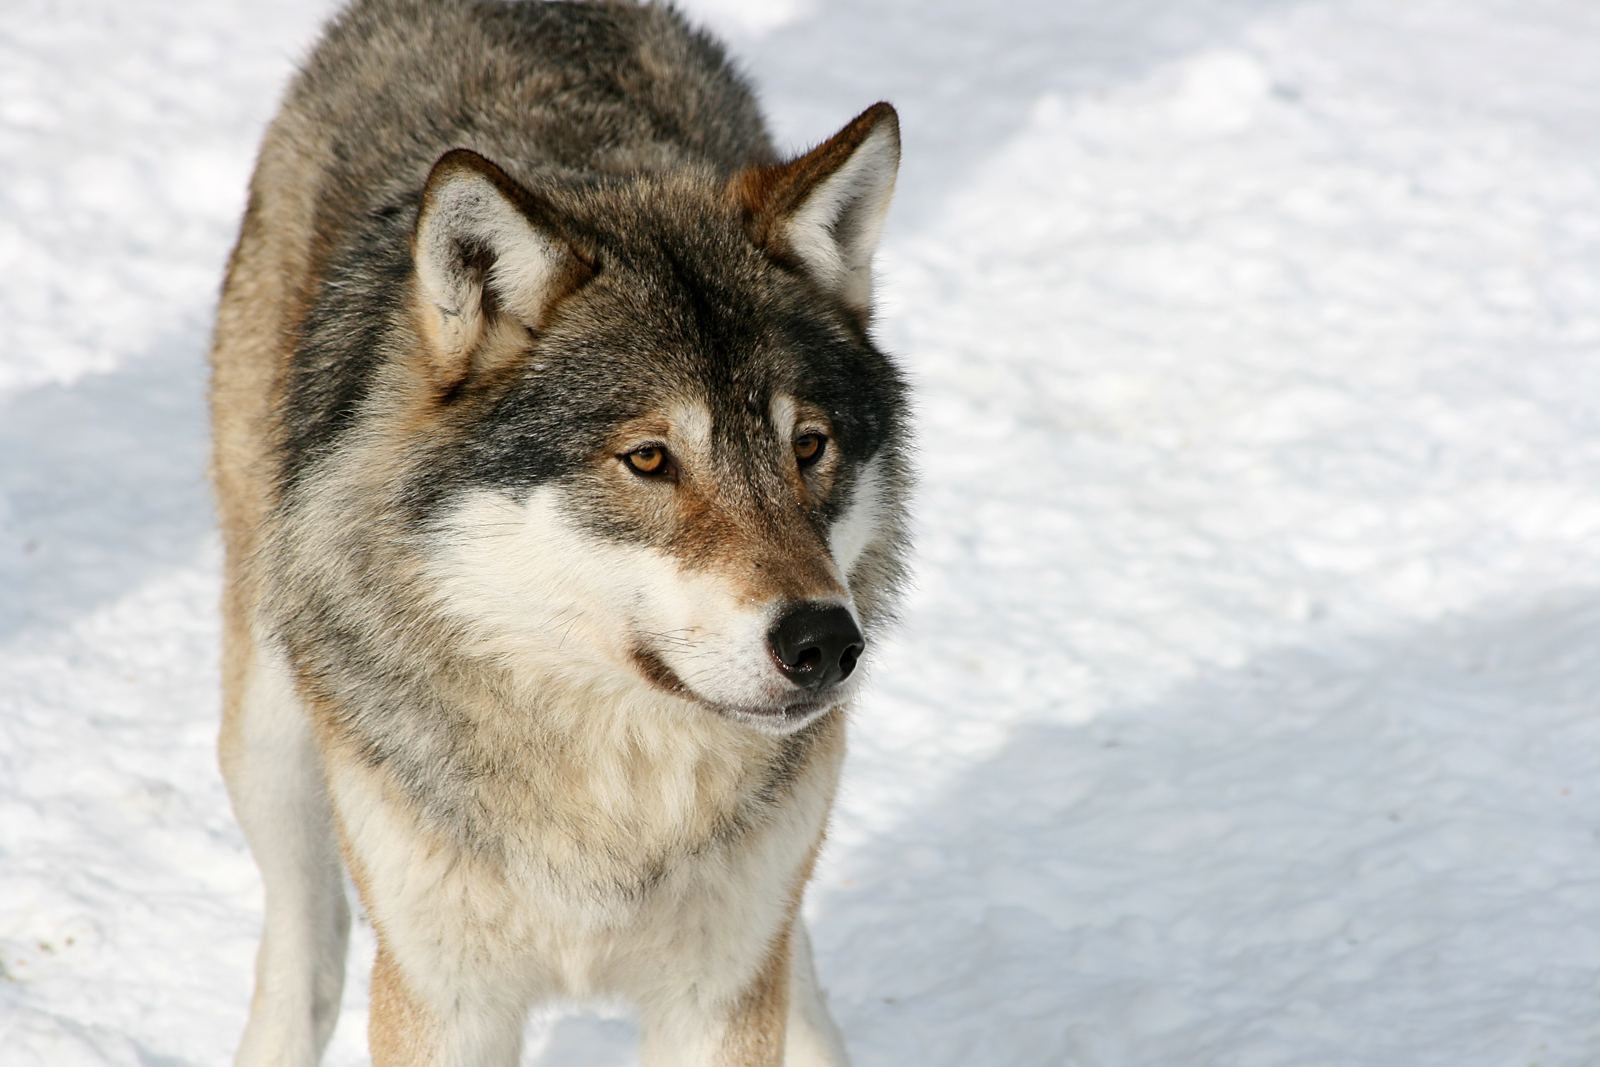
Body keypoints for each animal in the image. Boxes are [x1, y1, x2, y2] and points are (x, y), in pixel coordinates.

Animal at [208, 1, 909, 1064]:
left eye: (809, 446)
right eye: (650, 459)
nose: (824, 641)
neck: (611, 783)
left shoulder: (718, 993)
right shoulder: (444, 999)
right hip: (273, 736)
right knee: (306, 937)